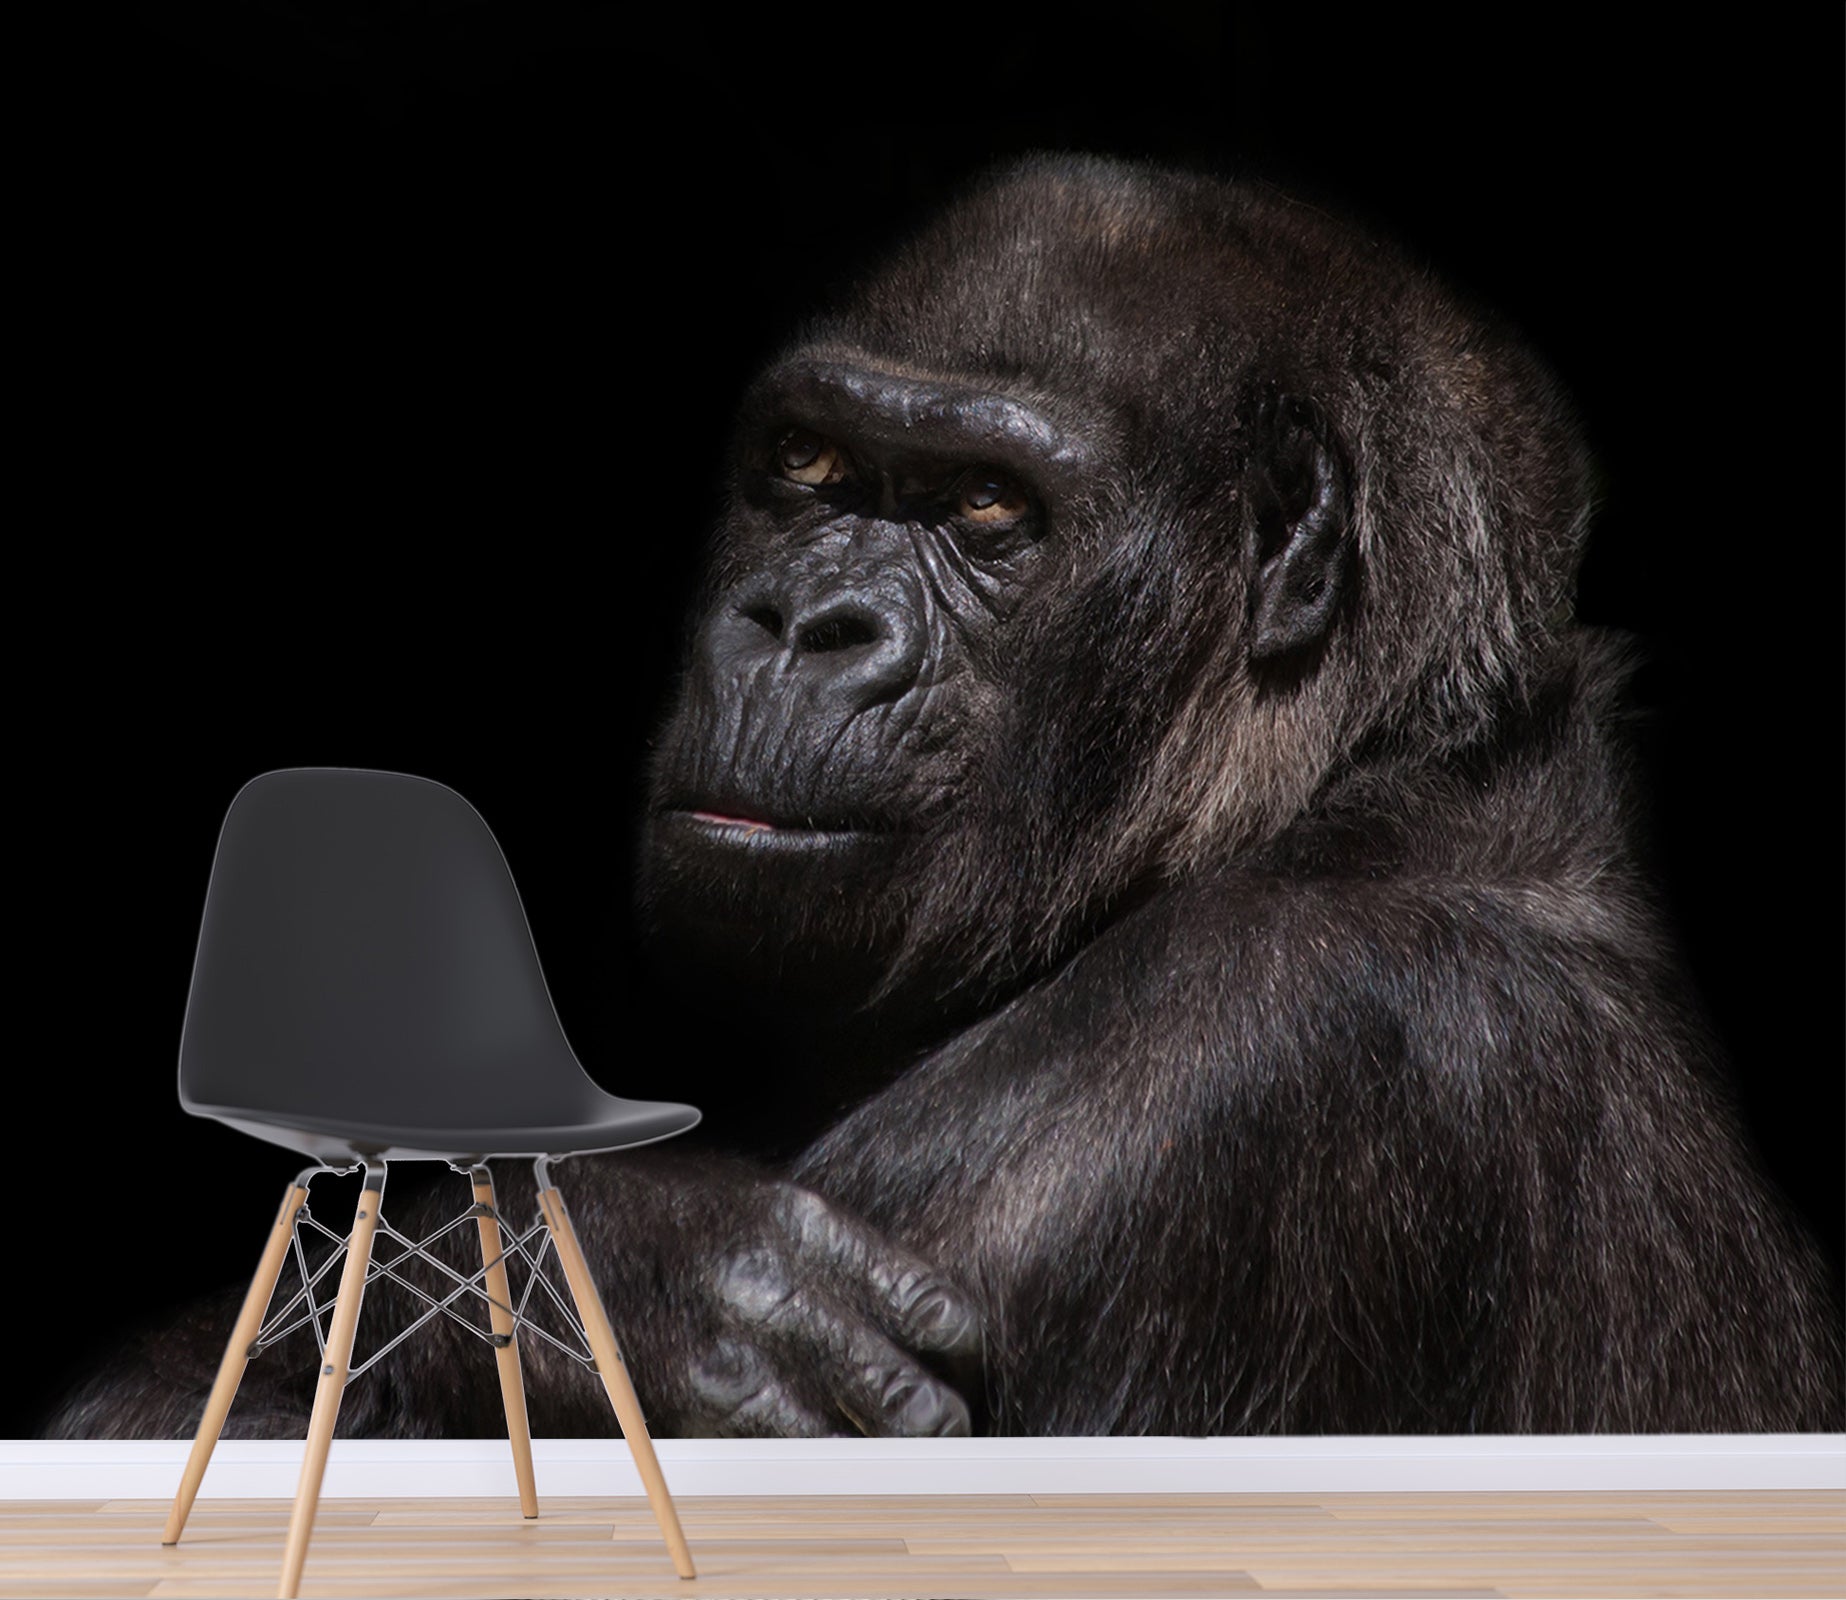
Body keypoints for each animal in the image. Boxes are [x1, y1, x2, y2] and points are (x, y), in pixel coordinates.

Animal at [48, 155, 1842, 1442]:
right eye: (807, 469)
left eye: (988, 509)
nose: (804, 621)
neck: (1348, 773)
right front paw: (649, 1284)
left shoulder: (1236, 1064)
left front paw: (607, 1290)